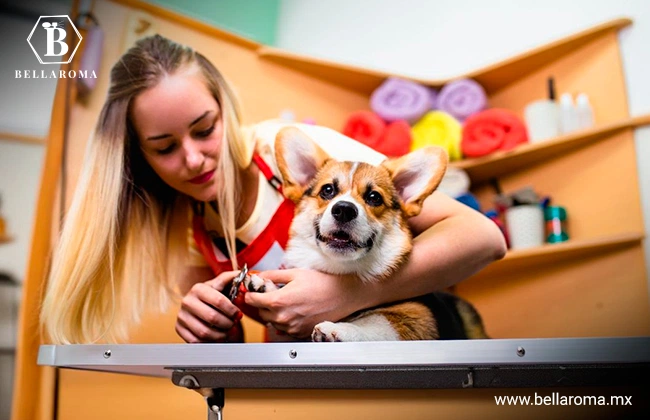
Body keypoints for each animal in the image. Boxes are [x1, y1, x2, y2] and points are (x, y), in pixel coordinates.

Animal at [247, 127, 486, 342]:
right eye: (327, 190)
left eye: (374, 197)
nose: (344, 209)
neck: (337, 269)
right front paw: (266, 286)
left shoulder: (416, 317)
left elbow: (378, 324)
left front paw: (340, 329)